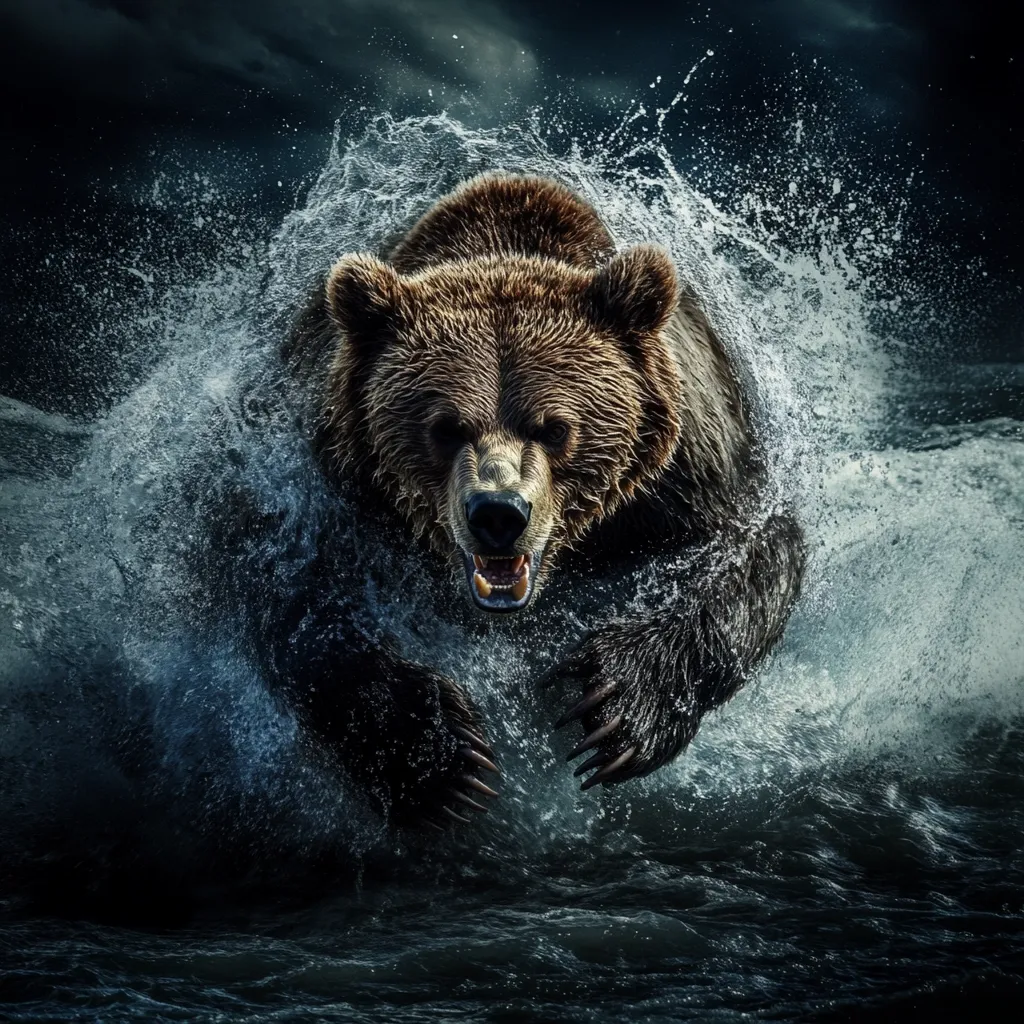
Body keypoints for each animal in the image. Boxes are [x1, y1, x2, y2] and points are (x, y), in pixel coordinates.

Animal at [265, 173, 805, 829]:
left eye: (555, 428)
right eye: (446, 427)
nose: (499, 514)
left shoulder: (692, 468)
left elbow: (752, 555)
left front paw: (618, 704)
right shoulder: (326, 474)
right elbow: (291, 592)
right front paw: (446, 758)